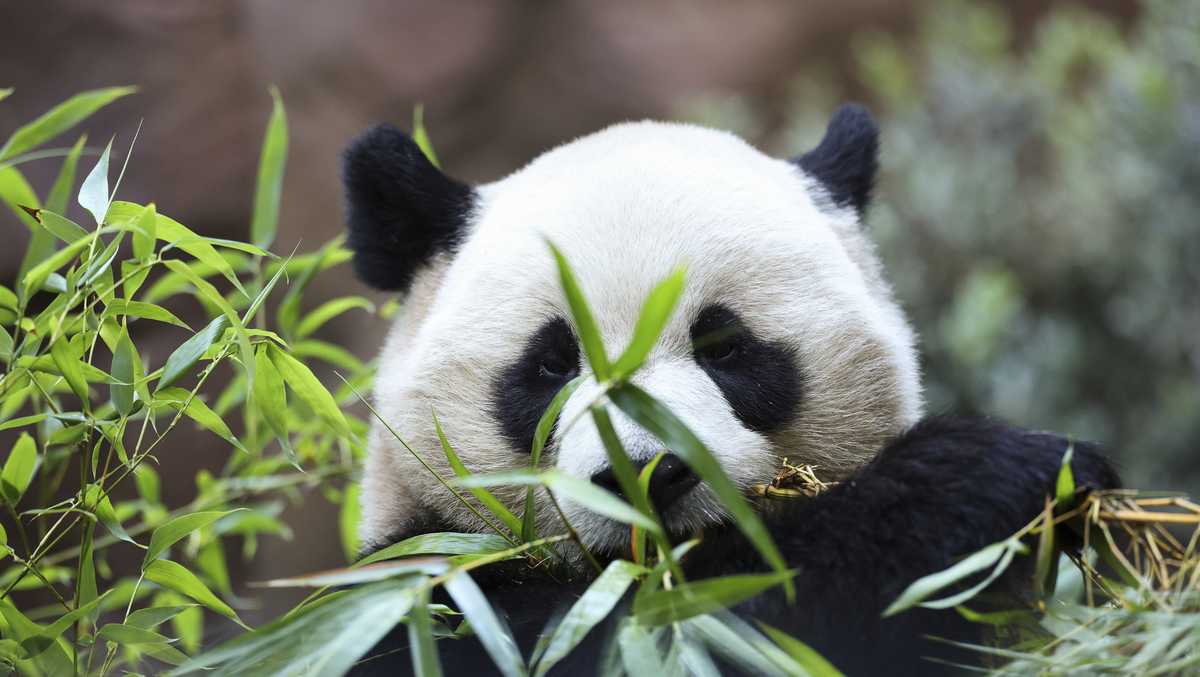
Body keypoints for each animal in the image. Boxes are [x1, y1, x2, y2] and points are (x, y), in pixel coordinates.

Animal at [340, 105, 1119, 676]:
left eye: (722, 346)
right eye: (552, 365)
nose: (645, 472)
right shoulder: (418, 596)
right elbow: (703, 619)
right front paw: (988, 473)